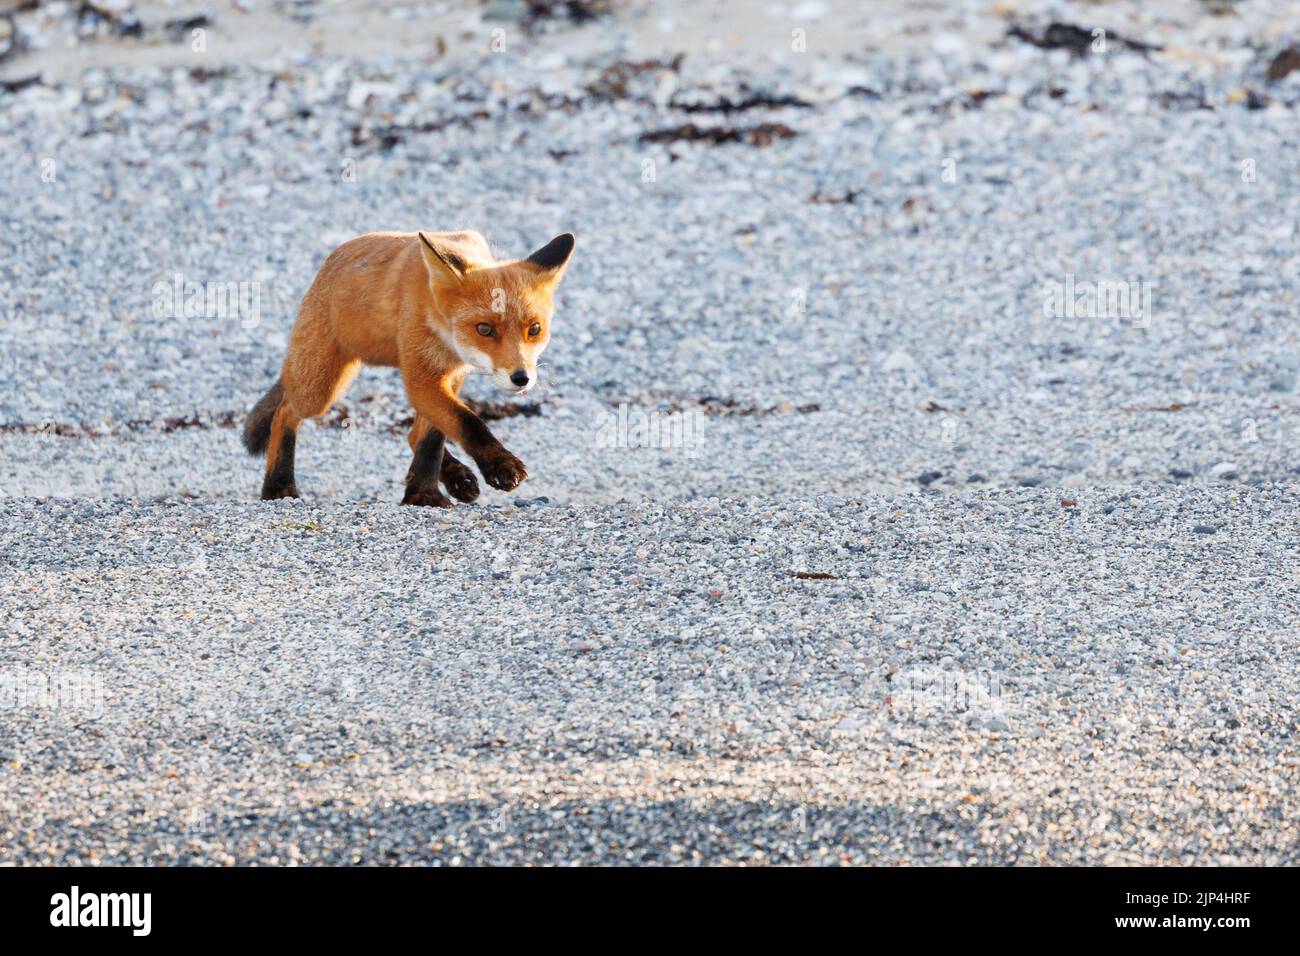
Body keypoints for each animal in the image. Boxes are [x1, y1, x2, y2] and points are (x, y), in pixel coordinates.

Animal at [240, 230, 574, 509]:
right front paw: (498, 467)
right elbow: (467, 422)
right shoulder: (421, 375)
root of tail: (329, 262)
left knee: (414, 434)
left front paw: (422, 494)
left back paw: (457, 478)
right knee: (284, 412)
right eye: (484, 329)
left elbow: (432, 438)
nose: (521, 378)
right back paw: (278, 486)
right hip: (321, 388)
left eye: (534, 329)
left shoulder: (447, 372)